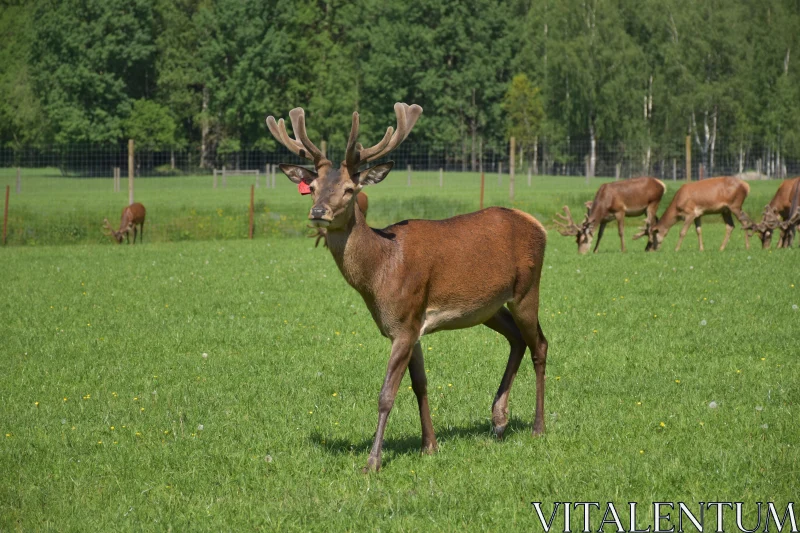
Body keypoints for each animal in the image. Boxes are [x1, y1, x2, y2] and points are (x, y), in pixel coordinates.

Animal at [268, 103, 552, 470]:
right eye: (313, 186)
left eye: (350, 189)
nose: (318, 212)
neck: (381, 272)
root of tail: (539, 225)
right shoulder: (414, 324)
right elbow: (420, 384)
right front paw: (429, 445)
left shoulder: (404, 323)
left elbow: (387, 394)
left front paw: (373, 461)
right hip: (489, 307)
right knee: (517, 339)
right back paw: (499, 420)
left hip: (527, 289)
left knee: (540, 344)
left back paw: (537, 427)